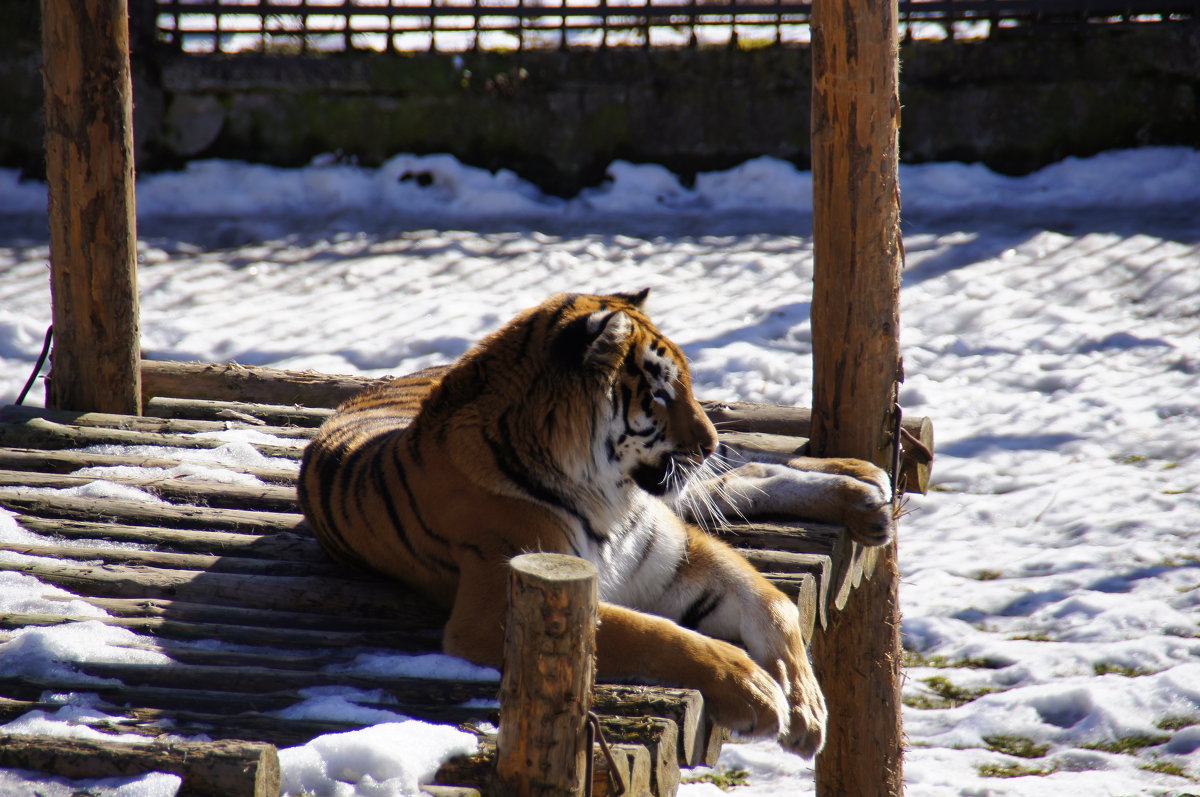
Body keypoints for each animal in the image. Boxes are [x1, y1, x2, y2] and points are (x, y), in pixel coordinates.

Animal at [298, 289, 897, 758]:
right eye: (660, 394)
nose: (708, 443)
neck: (607, 493)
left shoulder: (676, 551)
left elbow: (772, 603)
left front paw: (806, 704)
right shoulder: (500, 607)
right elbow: (653, 632)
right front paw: (754, 689)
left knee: (745, 468)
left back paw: (863, 487)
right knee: (737, 476)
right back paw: (862, 493)